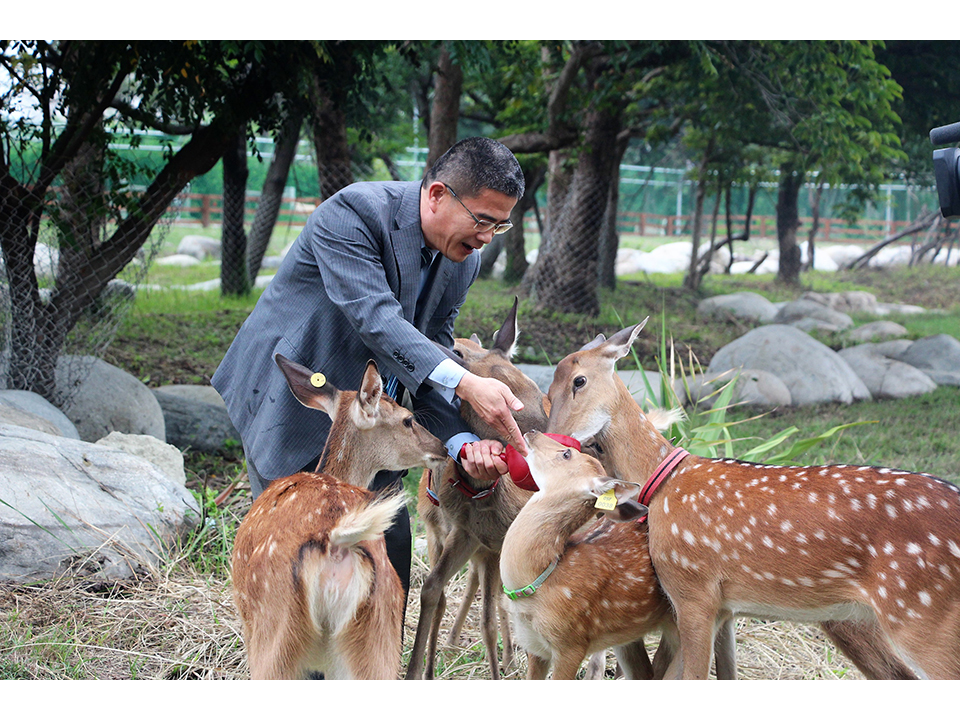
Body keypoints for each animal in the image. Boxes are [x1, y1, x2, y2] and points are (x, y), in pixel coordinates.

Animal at [544, 322, 948, 680]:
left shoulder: (693, 592)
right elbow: (725, 674)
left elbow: (691, 679)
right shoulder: (725, 607)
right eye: (549, 387)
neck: (661, 484)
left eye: (579, 381)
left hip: (920, 615)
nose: (552, 439)